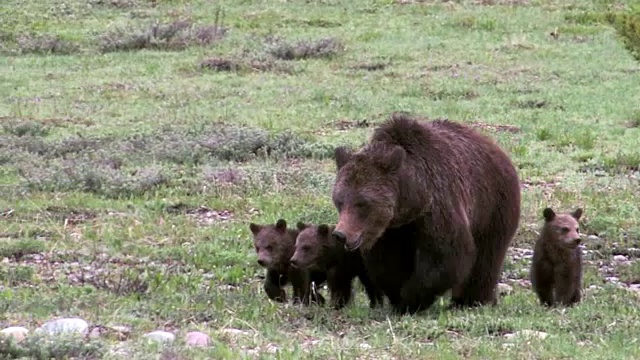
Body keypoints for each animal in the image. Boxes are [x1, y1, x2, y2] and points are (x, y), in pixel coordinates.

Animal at [332, 113, 524, 316]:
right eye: (340, 200)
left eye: (362, 203)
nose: (340, 234)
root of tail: (496, 148)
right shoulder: (389, 230)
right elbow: (387, 262)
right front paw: (398, 296)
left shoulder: (437, 204)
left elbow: (446, 255)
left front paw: (410, 300)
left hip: (492, 205)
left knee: (486, 257)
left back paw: (471, 300)